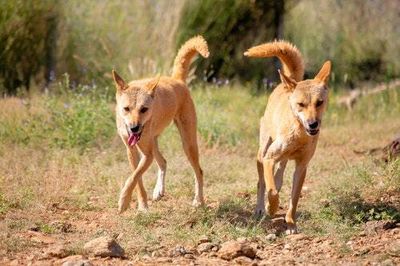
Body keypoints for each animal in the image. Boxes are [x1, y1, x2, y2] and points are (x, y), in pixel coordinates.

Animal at [111, 35, 208, 214]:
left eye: (144, 109)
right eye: (126, 109)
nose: (134, 128)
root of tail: (177, 80)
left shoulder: (147, 155)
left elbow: (133, 177)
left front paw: (124, 201)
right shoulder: (132, 151)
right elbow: (137, 179)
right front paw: (142, 205)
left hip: (188, 144)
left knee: (199, 171)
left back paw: (199, 201)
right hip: (154, 143)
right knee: (163, 162)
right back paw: (158, 190)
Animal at [244, 40, 332, 234]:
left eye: (319, 102)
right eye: (301, 104)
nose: (313, 124)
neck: (299, 136)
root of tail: (287, 83)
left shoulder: (301, 167)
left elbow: (294, 200)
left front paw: (291, 223)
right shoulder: (269, 158)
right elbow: (272, 192)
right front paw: (271, 208)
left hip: (281, 159)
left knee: (279, 175)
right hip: (262, 153)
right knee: (262, 183)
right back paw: (260, 208)